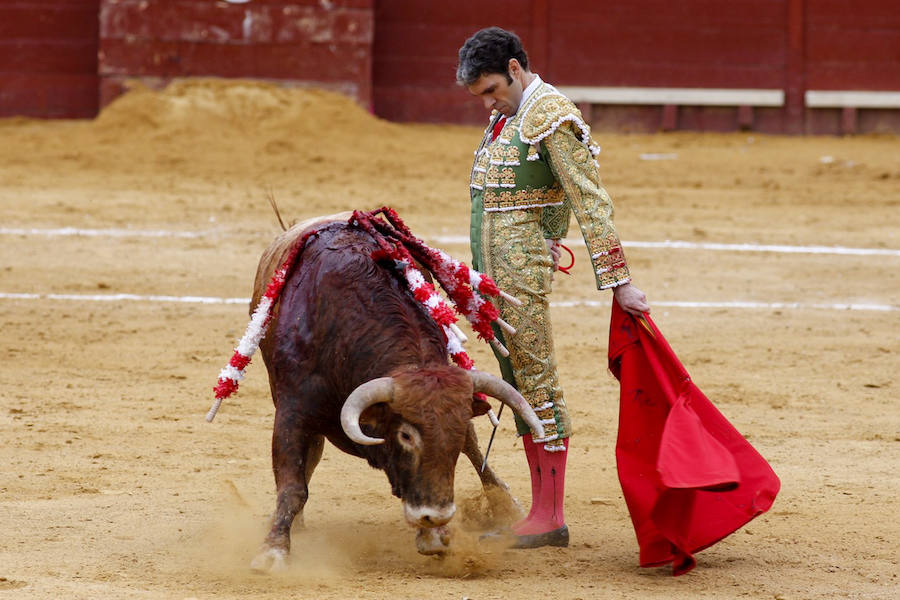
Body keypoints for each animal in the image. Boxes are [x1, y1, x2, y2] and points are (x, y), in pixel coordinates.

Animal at [244, 216, 540, 572]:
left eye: (451, 436)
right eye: (406, 435)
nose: (435, 515)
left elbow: (466, 445)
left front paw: (434, 536)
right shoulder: (292, 413)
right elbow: (292, 486)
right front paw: (273, 551)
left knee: (475, 448)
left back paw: (505, 506)